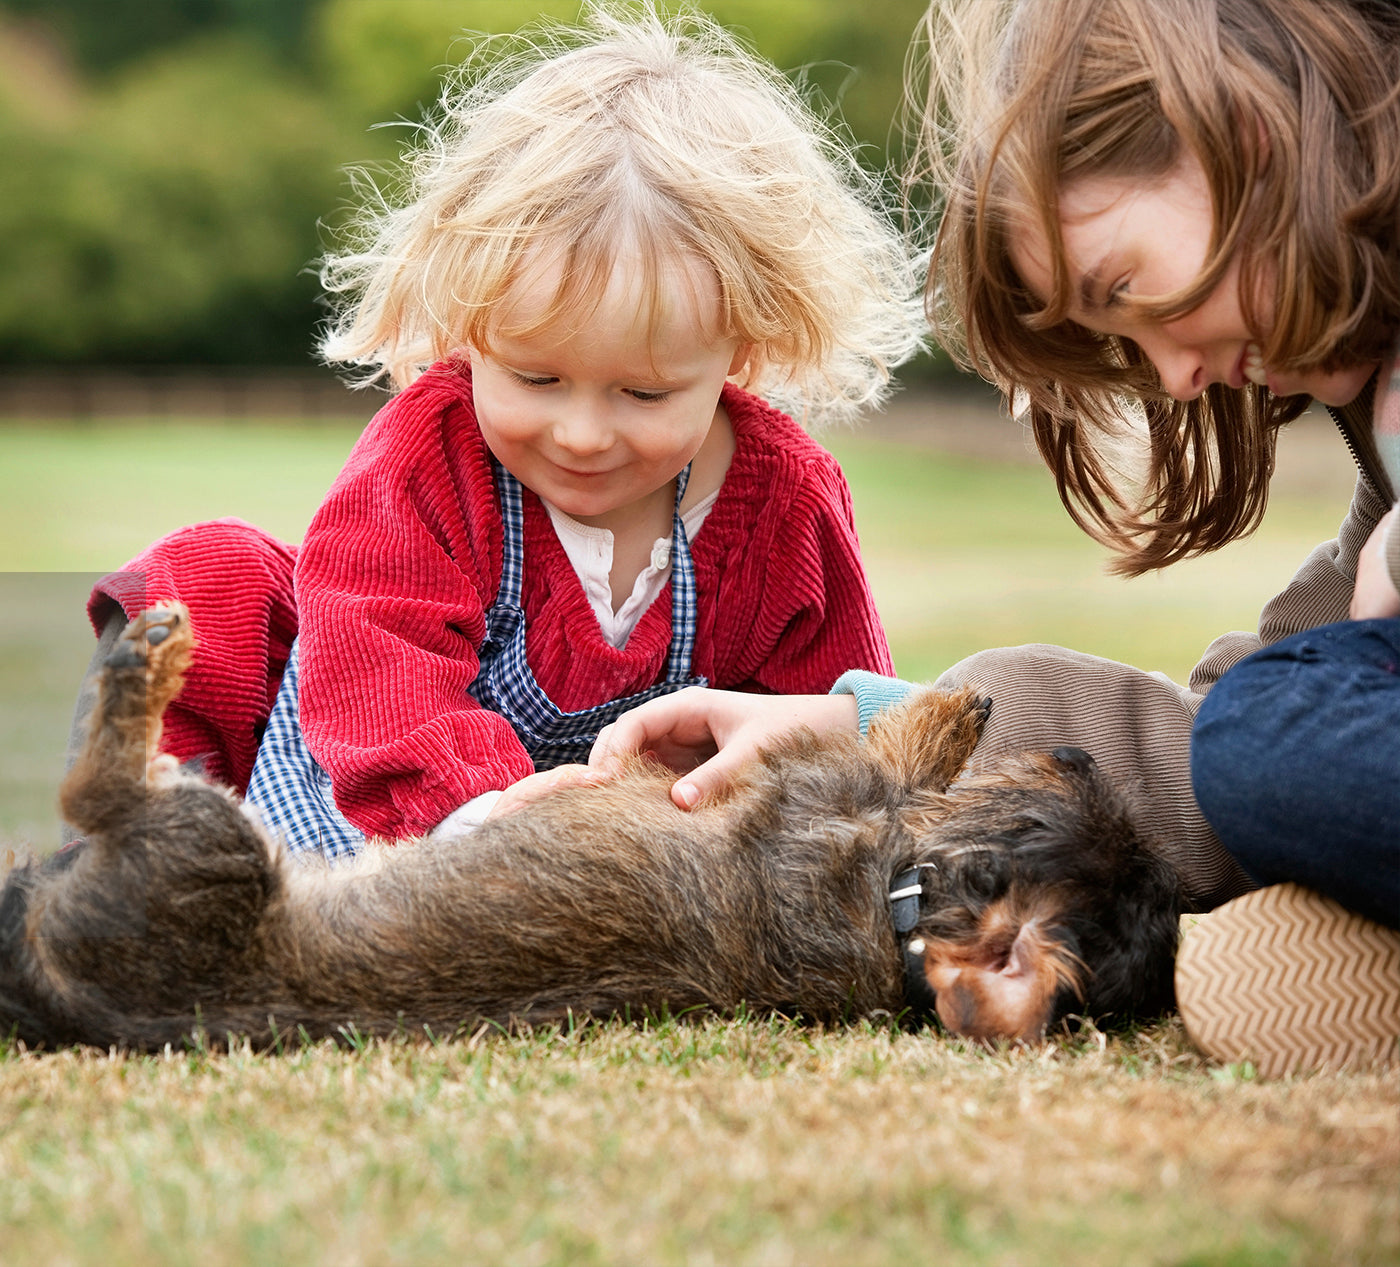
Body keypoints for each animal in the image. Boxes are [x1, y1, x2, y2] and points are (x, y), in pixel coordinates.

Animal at [0, 602, 1181, 1047]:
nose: (1082, 750)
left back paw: (139, 656)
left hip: (208, 844)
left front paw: (948, 707)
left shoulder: (818, 785)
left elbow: (896, 748)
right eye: (1071, 793)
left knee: (98, 787)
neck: (888, 904)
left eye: (1041, 814)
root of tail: (58, 989)